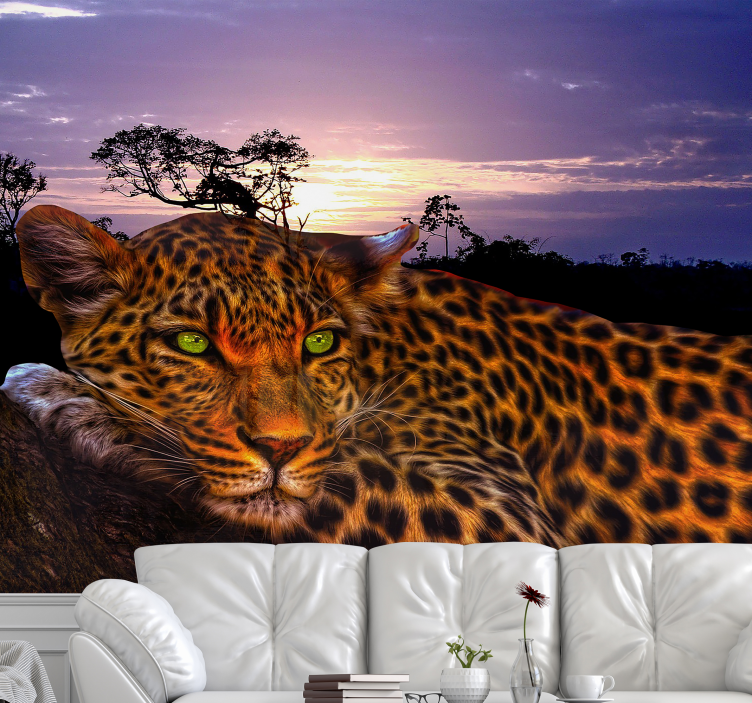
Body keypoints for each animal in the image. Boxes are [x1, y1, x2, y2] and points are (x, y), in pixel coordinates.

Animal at [5, 203, 752, 549]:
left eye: (319, 341)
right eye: (192, 342)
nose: (281, 448)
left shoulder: (505, 519)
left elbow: (347, 470)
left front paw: (65, 394)